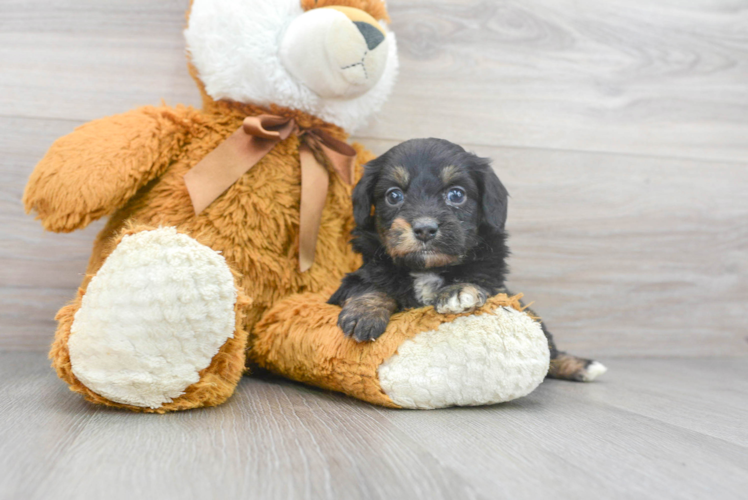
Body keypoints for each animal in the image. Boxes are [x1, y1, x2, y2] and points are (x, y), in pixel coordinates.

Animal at [332, 139, 608, 380]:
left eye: (456, 194)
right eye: (394, 195)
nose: (424, 229)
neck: (428, 268)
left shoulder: (493, 282)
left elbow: (474, 279)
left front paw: (458, 292)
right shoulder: (357, 276)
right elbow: (371, 284)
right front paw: (364, 314)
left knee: (550, 347)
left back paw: (582, 366)